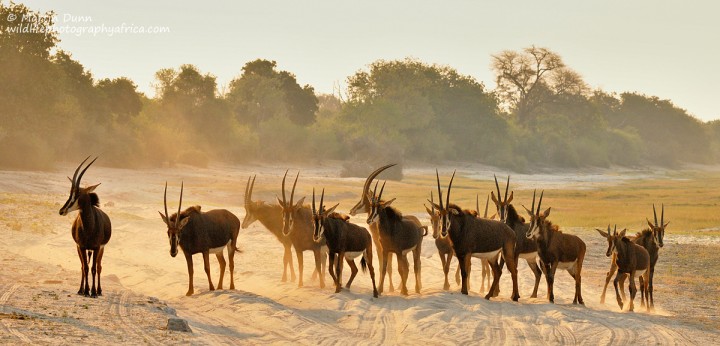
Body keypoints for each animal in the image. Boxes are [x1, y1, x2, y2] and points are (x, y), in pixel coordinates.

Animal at [59, 157, 112, 298]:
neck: (89, 227)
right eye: (70, 194)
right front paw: (86, 290)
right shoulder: (82, 246)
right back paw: (81, 289)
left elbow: (93, 269)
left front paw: (93, 291)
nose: (61, 211)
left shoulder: (97, 247)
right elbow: (86, 268)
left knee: (98, 267)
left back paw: (99, 290)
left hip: (100, 249)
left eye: (77, 195)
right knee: (83, 266)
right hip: (80, 248)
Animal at [348, 164, 424, 292]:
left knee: (416, 265)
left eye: (364, 200)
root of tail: (418, 223)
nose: (351, 210)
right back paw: (404, 286)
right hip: (404, 253)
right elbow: (383, 267)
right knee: (408, 266)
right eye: (371, 205)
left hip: (416, 248)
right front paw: (381, 288)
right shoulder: (382, 248)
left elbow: (392, 268)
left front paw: (392, 289)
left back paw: (416, 288)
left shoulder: (393, 250)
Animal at [430, 170, 520, 300]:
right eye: (440, 214)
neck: (461, 227)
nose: (443, 231)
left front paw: (465, 291)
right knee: (498, 272)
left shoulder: (467, 253)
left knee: (514, 271)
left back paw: (515, 296)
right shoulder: (460, 254)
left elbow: (465, 272)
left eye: (449, 214)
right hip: (492, 257)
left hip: (507, 253)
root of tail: (511, 231)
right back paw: (488, 295)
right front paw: (463, 291)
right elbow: (463, 271)